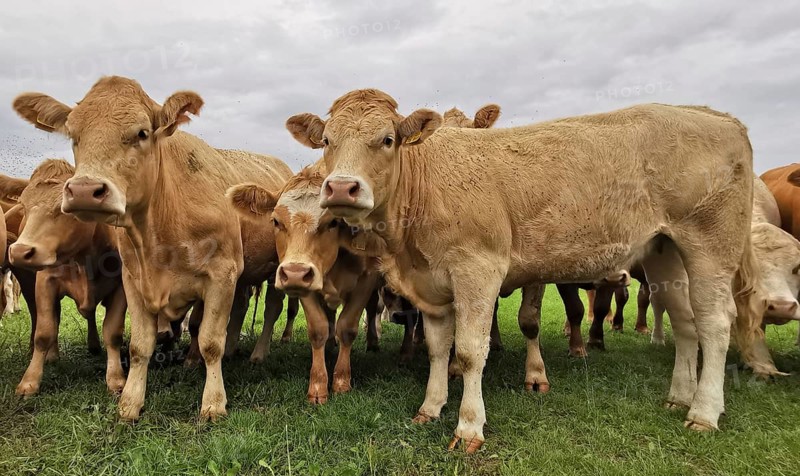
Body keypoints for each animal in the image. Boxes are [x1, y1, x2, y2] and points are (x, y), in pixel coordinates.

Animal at [7, 159, 127, 395]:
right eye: (24, 206)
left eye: (65, 210)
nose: (20, 251)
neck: (83, 260)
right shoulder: (45, 283)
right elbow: (44, 332)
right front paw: (29, 381)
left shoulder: (121, 287)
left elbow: (112, 332)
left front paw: (116, 378)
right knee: (53, 318)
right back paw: (52, 355)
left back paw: (93, 346)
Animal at [287, 90, 762, 451]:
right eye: (327, 140)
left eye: (386, 139)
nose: (341, 187)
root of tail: (713, 114)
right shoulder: (433, 286)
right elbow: (439, 349)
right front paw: (430, 407)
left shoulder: (478, 270)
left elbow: (469, 351)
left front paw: (469, 426)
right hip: (665, 252)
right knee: (685, 322)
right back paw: (680, 397)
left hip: (710, 245)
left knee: (715, 324)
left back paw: (703, 412)